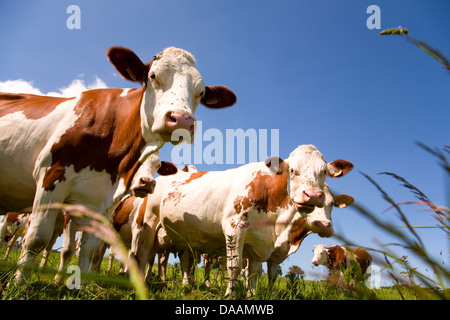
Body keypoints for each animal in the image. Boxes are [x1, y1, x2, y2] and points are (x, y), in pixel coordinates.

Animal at [0, 46, 237, 282]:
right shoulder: (52, 176)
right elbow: (38, 240)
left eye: (201, 92)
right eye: (152, 76)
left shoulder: (102, 204)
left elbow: (89, 250)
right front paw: (22, 283)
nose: (181, 120)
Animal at [160, 144, 354, 296]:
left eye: (324, 171)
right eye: (292, 170)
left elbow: (258, 273)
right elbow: (235, 267)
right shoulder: (234, 228)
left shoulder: (260, 243)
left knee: (186, 260)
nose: (313, 196)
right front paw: (230, 295)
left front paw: (254, 295)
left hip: (188, 240)